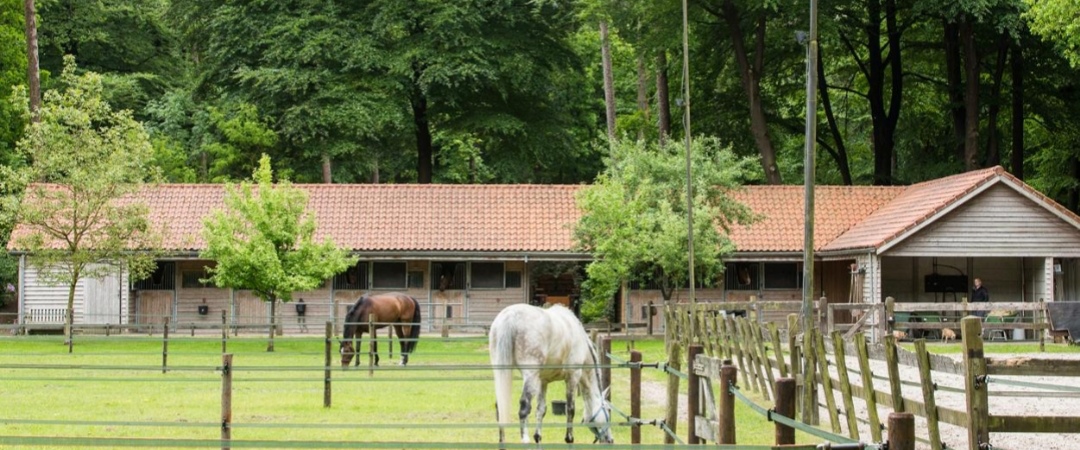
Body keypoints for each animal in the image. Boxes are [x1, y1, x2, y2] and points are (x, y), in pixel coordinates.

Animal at [489, 303, 614, 445]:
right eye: (608, 411)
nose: (610, 439)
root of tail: (511, 316)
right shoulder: (572, 377)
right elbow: (570, 409)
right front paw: (569, 439)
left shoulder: (543, 382)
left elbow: (541, 410)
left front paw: (538, 437)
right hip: (530, 376)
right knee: (524, 408)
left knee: (500, 407)